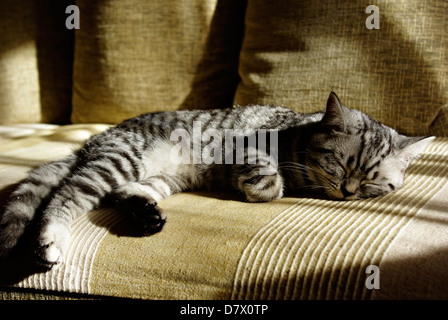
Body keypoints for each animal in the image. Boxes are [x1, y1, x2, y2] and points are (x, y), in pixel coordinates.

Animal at [0, 92, 434, 268]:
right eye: (339, 166)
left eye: (372, 183)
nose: (348, 191)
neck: (298, 134)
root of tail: (94, 140)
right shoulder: (247, 142)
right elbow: (266, 174)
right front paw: (264, 184)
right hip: (123, 159)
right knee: (66, 195)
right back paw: (49, 239)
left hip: (160, 177)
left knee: (121, 192)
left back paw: (146, 214)